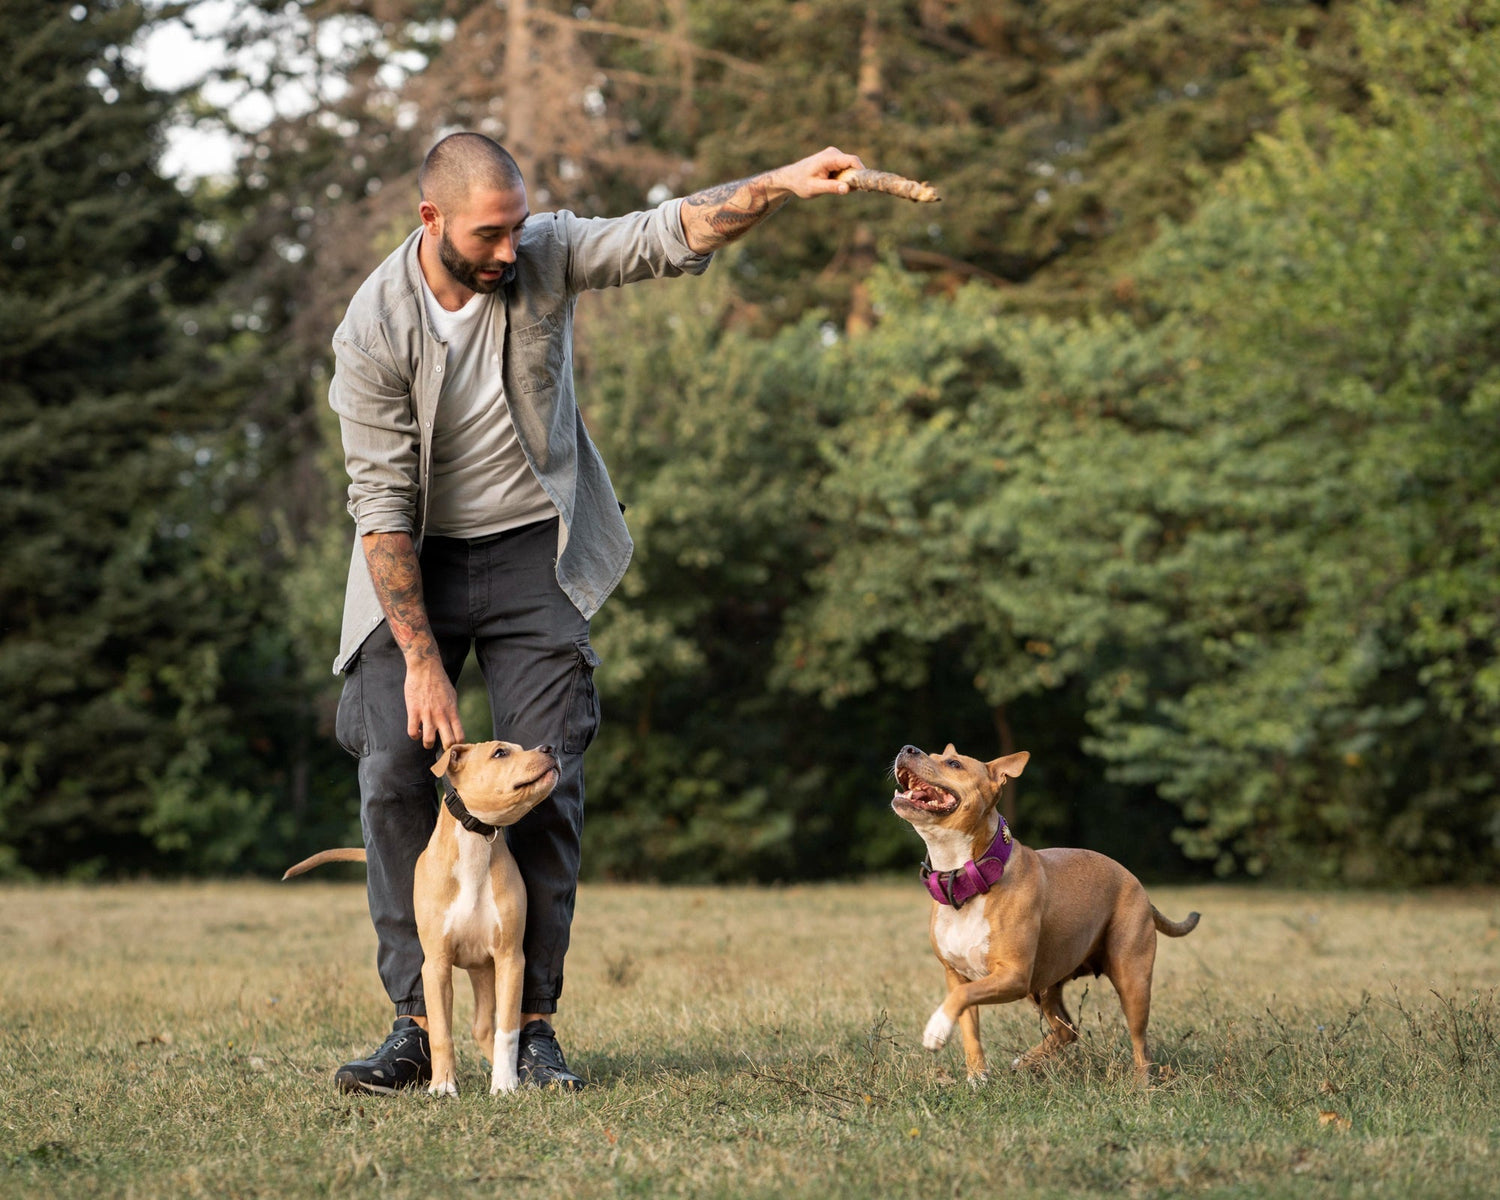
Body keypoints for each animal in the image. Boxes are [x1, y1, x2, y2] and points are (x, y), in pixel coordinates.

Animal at [283, 735, 561, 1092]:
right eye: (500, 753)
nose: (550, 748)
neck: (476, 842)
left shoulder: (511, 958)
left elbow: (508, 1029)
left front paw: (504, 1082)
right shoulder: (436, 964)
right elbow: (441, 1031)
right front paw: (442, 1086)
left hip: (486, 968)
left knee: (486, 1027)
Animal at [888, 744, 1194, 1080]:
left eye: (954, 764)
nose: (907, 748)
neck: (965, 874)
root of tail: (1139, 886)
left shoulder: (1013, 976)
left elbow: (958, 1000)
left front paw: (936, 1029)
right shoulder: (958, 975)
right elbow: (969, 1028)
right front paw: (977, 1077)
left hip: (1132, 981)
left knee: (1140, 1042)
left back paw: (1140, 1084)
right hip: (1045, 986)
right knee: (1067, 1029)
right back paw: (1026, 1061)